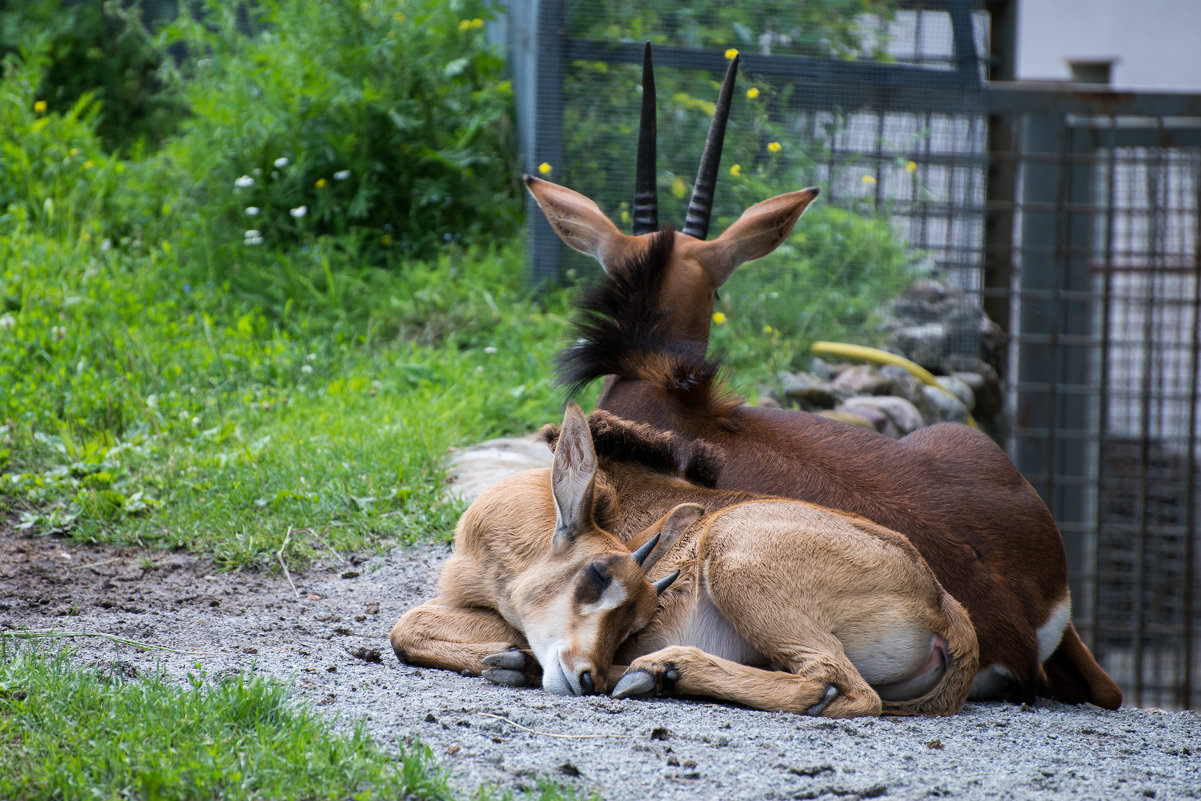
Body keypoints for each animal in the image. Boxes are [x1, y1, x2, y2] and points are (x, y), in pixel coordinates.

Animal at [391, 403, 975, 715]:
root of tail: (946, 608)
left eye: (639, 619)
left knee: (840, 685)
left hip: (735, 554)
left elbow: (406, 626)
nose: (585, 677)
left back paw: (657, 671)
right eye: (597, 573)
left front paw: (508, 656)